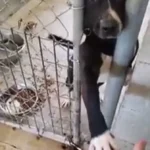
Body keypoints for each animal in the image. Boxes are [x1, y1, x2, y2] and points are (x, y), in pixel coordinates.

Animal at [49, 0, 139, 149]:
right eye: (92, 1)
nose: (110, 26)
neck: (105, 44)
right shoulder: (86, 73)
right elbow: (91, 100)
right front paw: (101, 136)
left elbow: (129, 67)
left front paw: (127, 76)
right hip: (71, 75)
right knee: (70, 86)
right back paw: (67, 98)